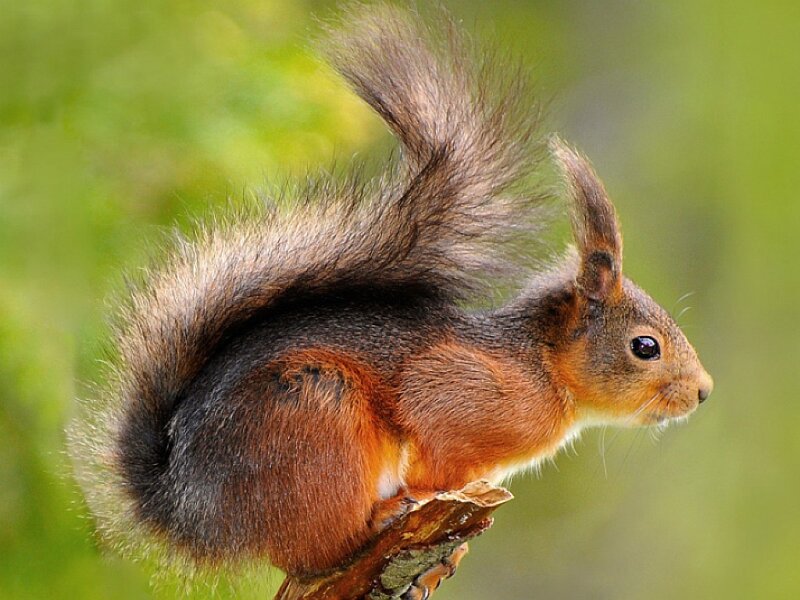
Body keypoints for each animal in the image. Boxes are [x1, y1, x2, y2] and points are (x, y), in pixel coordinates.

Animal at [70, 1, 713, 593]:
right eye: (646, 347)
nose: (703, 393)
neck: (540, 366)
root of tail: (187, 504)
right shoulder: (452, 391)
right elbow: (433, 447)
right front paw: (428, 505)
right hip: (315, 421)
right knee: (315, 551)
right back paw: (382, 515)